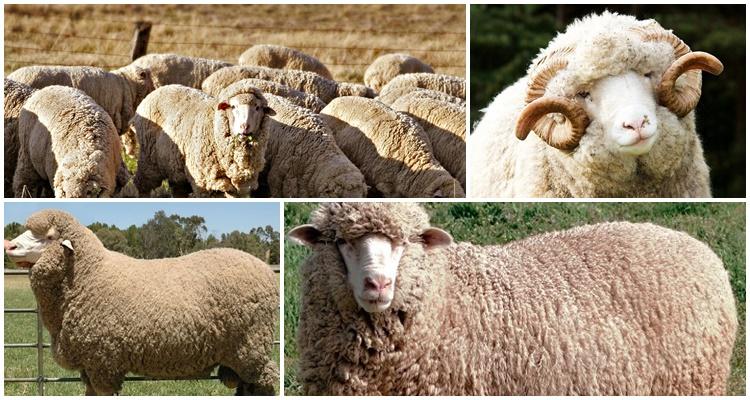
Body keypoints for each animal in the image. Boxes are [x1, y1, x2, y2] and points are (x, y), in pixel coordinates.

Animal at [4, 209, 278, 395]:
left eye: (49, 236)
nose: (9, 245)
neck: (88, 275)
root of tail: (265, 268)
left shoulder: (104, 361)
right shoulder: (90, 365)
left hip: (250, 346)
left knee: (265, 380)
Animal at [131, 82, 275, 198]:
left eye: (257, 108)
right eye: (233, 106)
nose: (245, 127)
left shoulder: (238, 187)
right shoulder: (204, 184)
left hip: (174, 167)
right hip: (148, 160)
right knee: (142, 185)